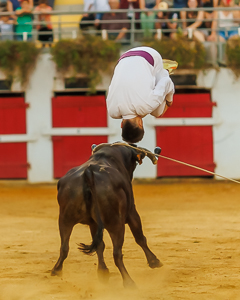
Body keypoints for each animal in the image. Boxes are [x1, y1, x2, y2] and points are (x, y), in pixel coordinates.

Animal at [51, 143, 162, 288]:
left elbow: (99, 245)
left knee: (64, 247)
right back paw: (128, 282)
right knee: (117, 253)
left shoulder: (93, 223)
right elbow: (140, 238)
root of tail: (88, 173)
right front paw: (154, 261)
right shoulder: (132, 212)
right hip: (115, 223)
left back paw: (56, 270)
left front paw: (102, 272)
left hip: (65, 218)